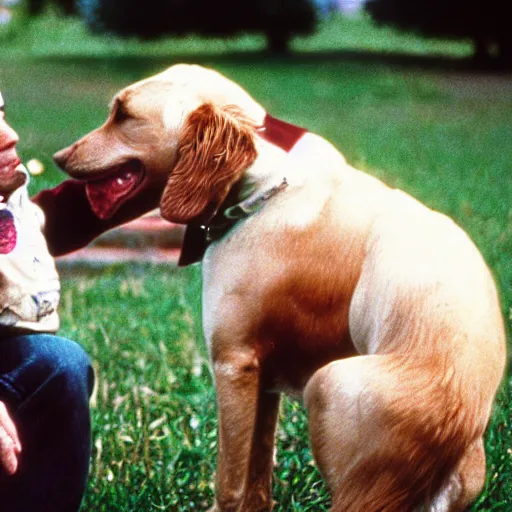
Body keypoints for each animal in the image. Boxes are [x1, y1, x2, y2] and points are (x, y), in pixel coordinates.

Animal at [54, 64, 506, 512]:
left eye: (123, 114)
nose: (58, 157)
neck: (258, 192)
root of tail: (454, 421)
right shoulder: (264, 377)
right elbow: (257, 481)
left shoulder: (232, 364)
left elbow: (229, 484)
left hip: (328, 387)